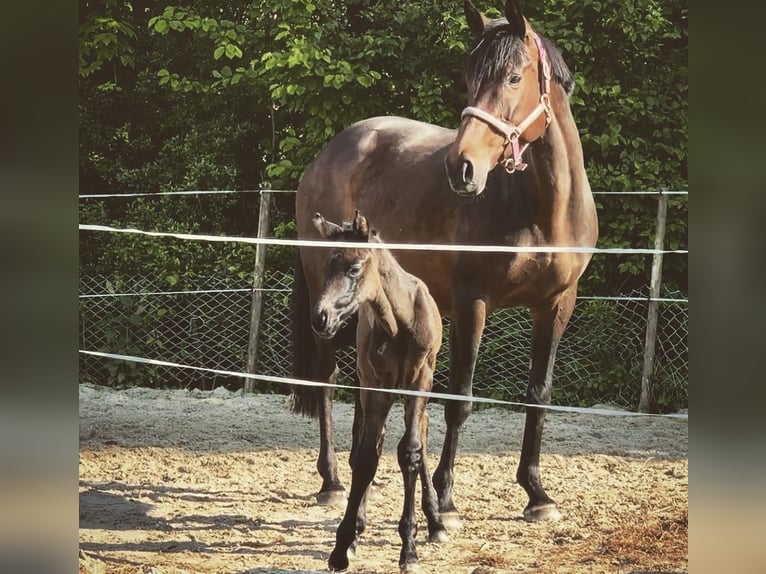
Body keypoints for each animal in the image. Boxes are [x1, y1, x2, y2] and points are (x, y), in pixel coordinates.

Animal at [312, 210, 450, 572]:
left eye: (354, 268)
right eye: (326, 266)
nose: (321, 318)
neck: (400, 321)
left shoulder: (419, 379)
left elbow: (411, 452)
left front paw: (409, 549)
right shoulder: (377, 383)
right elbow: (365, 458)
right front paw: (343, 544)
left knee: (421, 433)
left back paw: (437, 523)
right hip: (370, 383)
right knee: (373, 441)